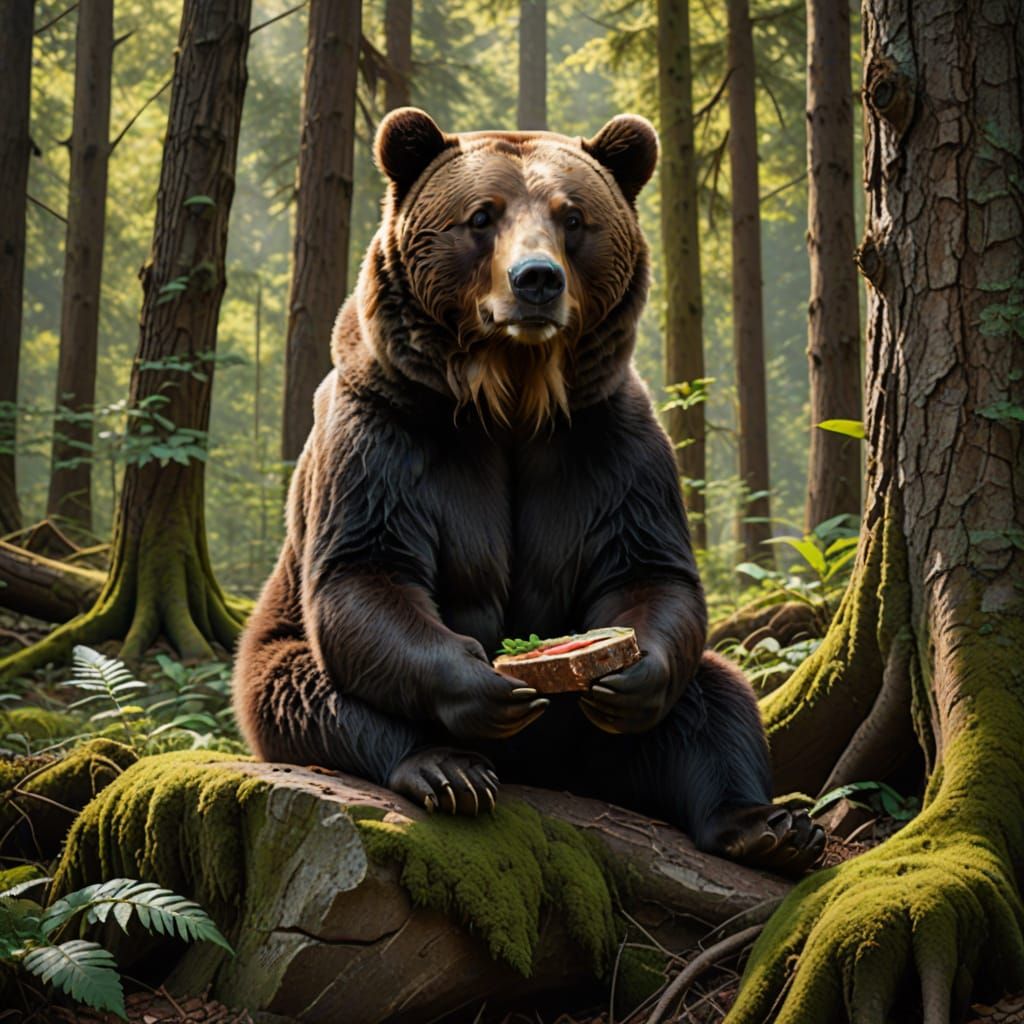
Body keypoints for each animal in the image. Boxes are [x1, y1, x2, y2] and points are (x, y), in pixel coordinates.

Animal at [232, 107, 824, 874]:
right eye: (481, 215)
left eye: (573, 217)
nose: (536, 279)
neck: (513, 393)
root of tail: (549, 773)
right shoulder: (386, 430)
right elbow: (369, 570)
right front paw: (483, 689)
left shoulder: (611, 441)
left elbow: (649, 570)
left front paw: (630, 678)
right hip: (276, 656)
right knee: (317, 693)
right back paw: (446, 768)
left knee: (717, 696)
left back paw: (767, 826)